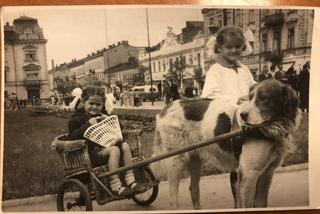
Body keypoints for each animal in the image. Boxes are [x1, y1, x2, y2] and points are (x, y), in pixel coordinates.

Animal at [151, 79, 302, 209]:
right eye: (250, 97)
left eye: (264, 98)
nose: (242, 115)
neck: (270, 128)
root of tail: (167, 107)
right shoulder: (249, 174)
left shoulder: (267, 173)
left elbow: (261, 204)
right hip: (176, 161)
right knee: (173, 198)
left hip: (195, 159)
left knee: (193, 189)